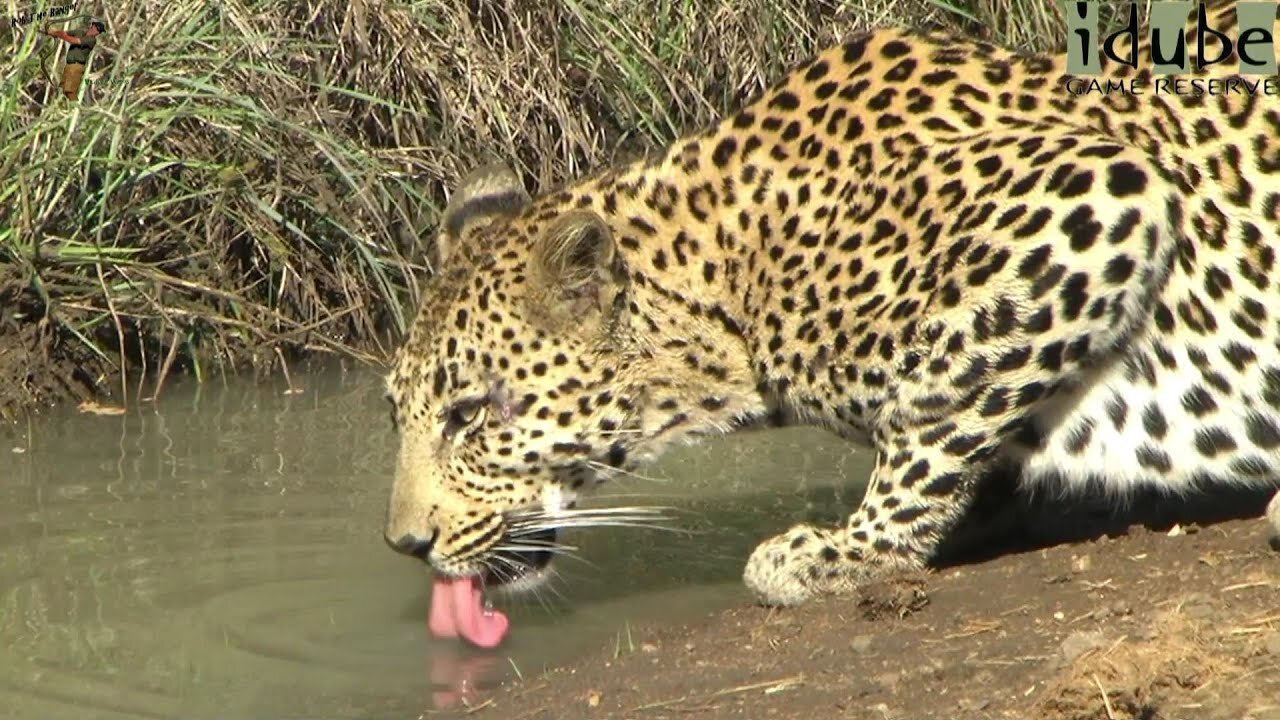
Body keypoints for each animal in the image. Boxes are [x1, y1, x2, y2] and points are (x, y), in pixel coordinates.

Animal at [384, 0, 1280, 609]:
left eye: (468, 414)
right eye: (402, 412)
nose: (405, 544)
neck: (730, 290)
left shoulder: (1095, 191)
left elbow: (935, 404)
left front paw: (850, 548)